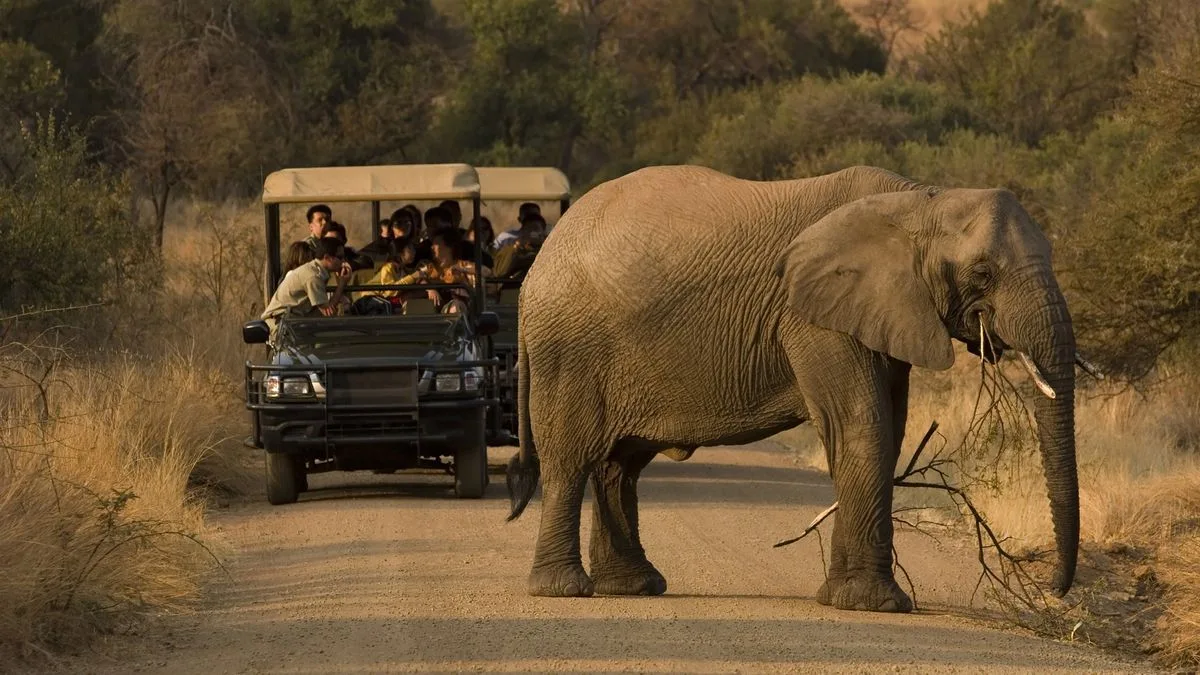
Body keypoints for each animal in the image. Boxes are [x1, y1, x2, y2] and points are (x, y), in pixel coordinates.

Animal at [505, 164, 1082, 613]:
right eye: (982, 273)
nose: (1055, 592)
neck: (918, 200)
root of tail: (537, 268)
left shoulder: (879, 310)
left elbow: (889, 429)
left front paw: (845, 598)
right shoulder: (812, 318)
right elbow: (861, 424)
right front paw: (874, 604)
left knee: (619, 465)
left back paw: (633, 587)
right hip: (569, 349)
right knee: (570, 459)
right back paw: (565, 590)